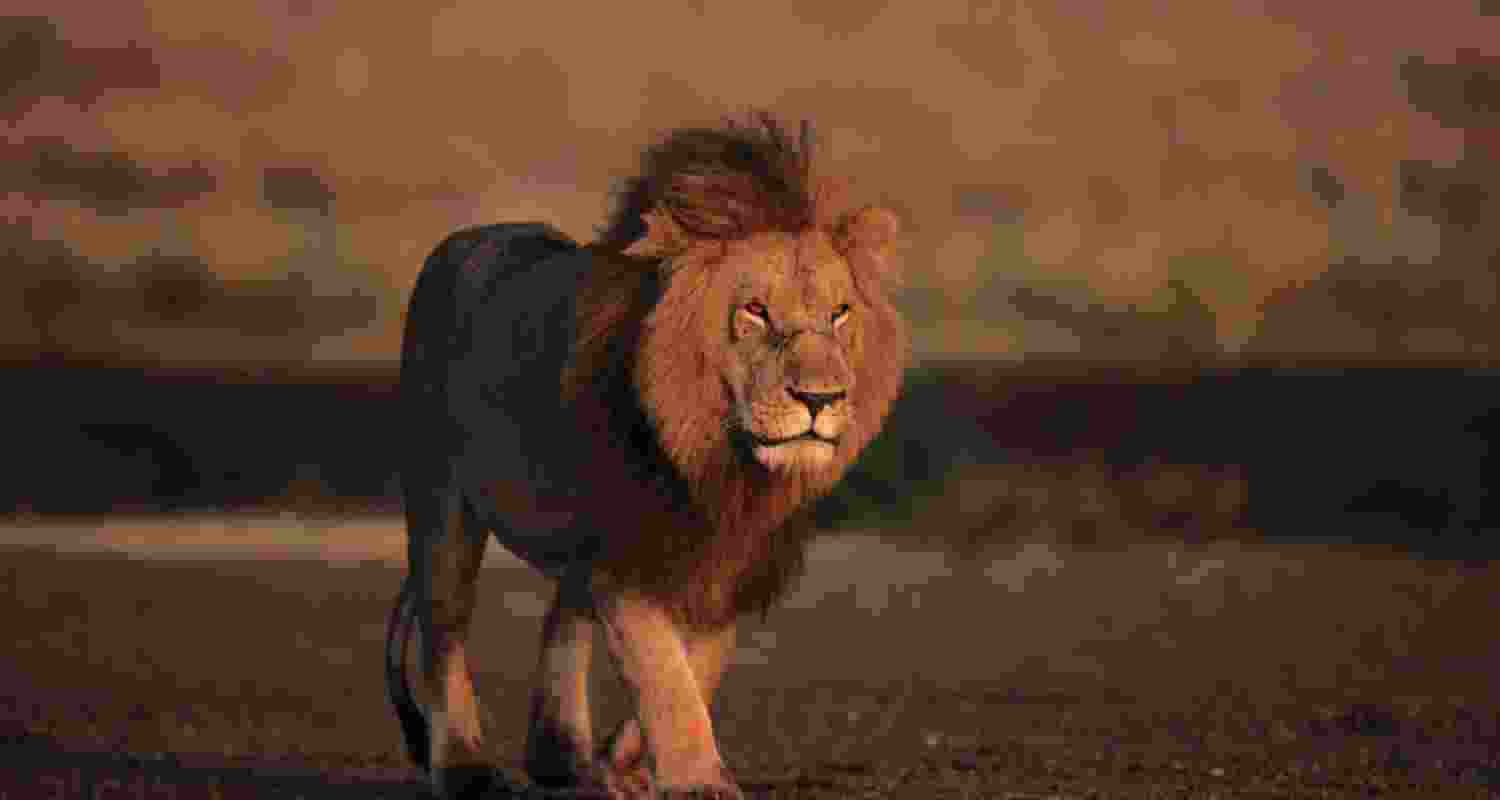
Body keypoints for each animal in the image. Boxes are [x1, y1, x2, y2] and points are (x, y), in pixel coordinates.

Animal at [385, 114, 907, 799]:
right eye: (755, 311)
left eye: (840, 313)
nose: (820, 398)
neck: (723, 469)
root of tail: (463, 240)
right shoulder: (626, 553)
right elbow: (664, 675)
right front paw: (697, 781)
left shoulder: (728, 563)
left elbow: (697, 669)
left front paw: (631, 766)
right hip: (441, 502)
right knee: (443, 631)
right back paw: (468, 770)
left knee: (562, 617)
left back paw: (566, 762)